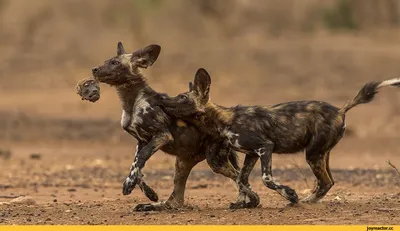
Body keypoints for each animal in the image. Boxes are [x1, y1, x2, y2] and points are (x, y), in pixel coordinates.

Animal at [90, 42, 260, 210]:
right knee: (176, 200)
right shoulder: (142, 141)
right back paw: (151, 205)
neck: (132, 103)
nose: (94, 69)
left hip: (215, 162)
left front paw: (129, 185)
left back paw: (249, 201)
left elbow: (141, 158)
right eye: (106, 61)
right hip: (183, 162)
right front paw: (149, 193)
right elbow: (136, 165)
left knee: (239, 176)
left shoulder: (162, 136)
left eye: (114, 63)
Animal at [151, 68, 400, 204]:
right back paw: (309, 200)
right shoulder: (252, 154)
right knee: (328, 181)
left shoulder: (265, 147)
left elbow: (266, 179)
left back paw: (304, 201)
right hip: (321, 154)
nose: (161, 99)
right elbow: (241, 179)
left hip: (312, 154)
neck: (222, 120)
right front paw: (247, 200)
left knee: (326, 181)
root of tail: (340, 109)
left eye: (182, 98)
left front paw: (289, 194)